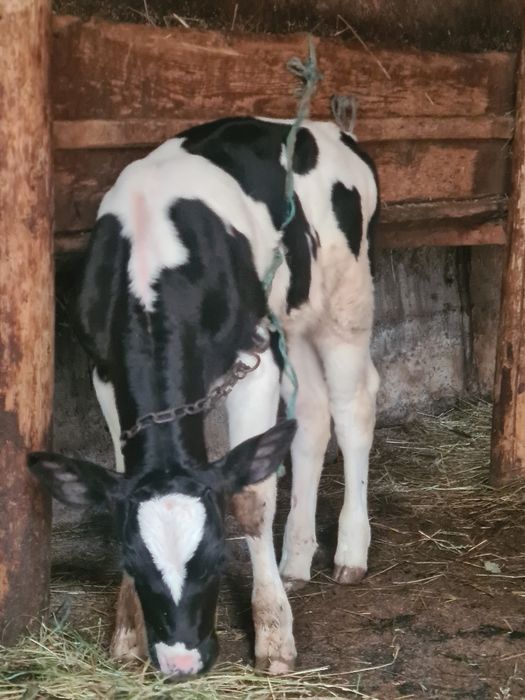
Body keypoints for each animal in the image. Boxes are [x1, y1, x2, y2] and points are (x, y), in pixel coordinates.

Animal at [28, 112, 379, 678]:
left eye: (216, 558)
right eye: (131, 562)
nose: (181, 661)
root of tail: (329, 129)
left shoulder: (253, 359)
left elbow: (251, 499)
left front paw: (274, 635)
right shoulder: (103, 371)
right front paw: (128, 632)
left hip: (346, 302)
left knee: (353, 410)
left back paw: (350, 551)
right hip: (292, 319)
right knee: (310, 416)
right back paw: (296, 558)